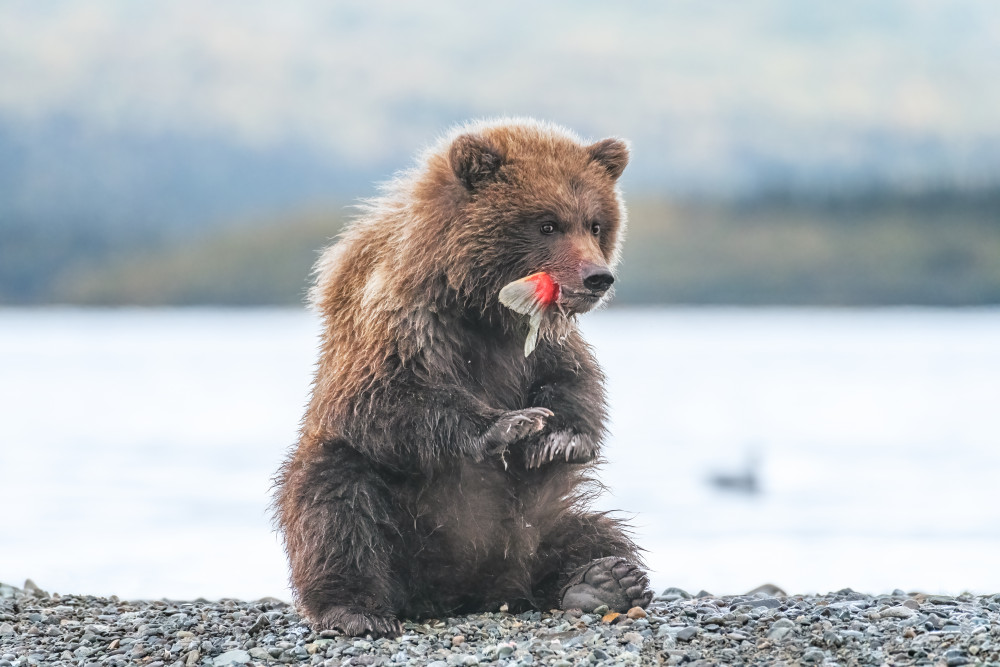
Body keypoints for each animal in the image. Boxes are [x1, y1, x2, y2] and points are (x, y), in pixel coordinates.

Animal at [274, 118, 652, 638]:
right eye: (547, 223)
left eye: (595, 223)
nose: (598, 277)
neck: (480, 303)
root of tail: (466, 589)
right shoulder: (402, 318)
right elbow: (383, 398)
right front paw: (509, 424)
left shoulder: (539, 339)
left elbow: (574, 378)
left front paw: (559, 437)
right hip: (388, 510)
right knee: (333, 500)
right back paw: (356, 609)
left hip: (535, 517)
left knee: (589, 531)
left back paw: (603, 580)